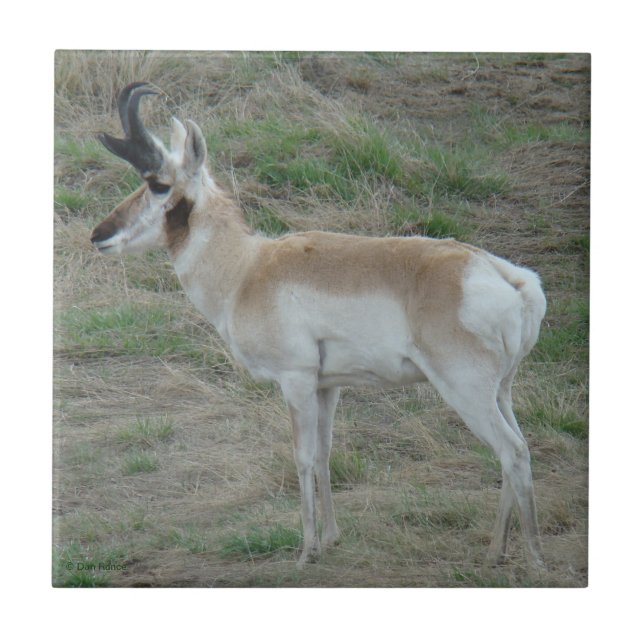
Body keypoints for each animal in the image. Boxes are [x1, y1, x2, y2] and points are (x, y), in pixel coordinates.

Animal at [91, 82, 547, 570]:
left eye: (158, 184)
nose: (99, 235)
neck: (248, 269)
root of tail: (500, 274)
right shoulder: (329, 386)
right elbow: (327, 454)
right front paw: (330, 538)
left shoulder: (296, 380)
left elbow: (303, 457)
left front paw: (305, 550)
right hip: (501, 391)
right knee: (516, 449)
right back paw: (496, 550)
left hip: (466, 390)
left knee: (512, 451)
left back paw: (534, 558)